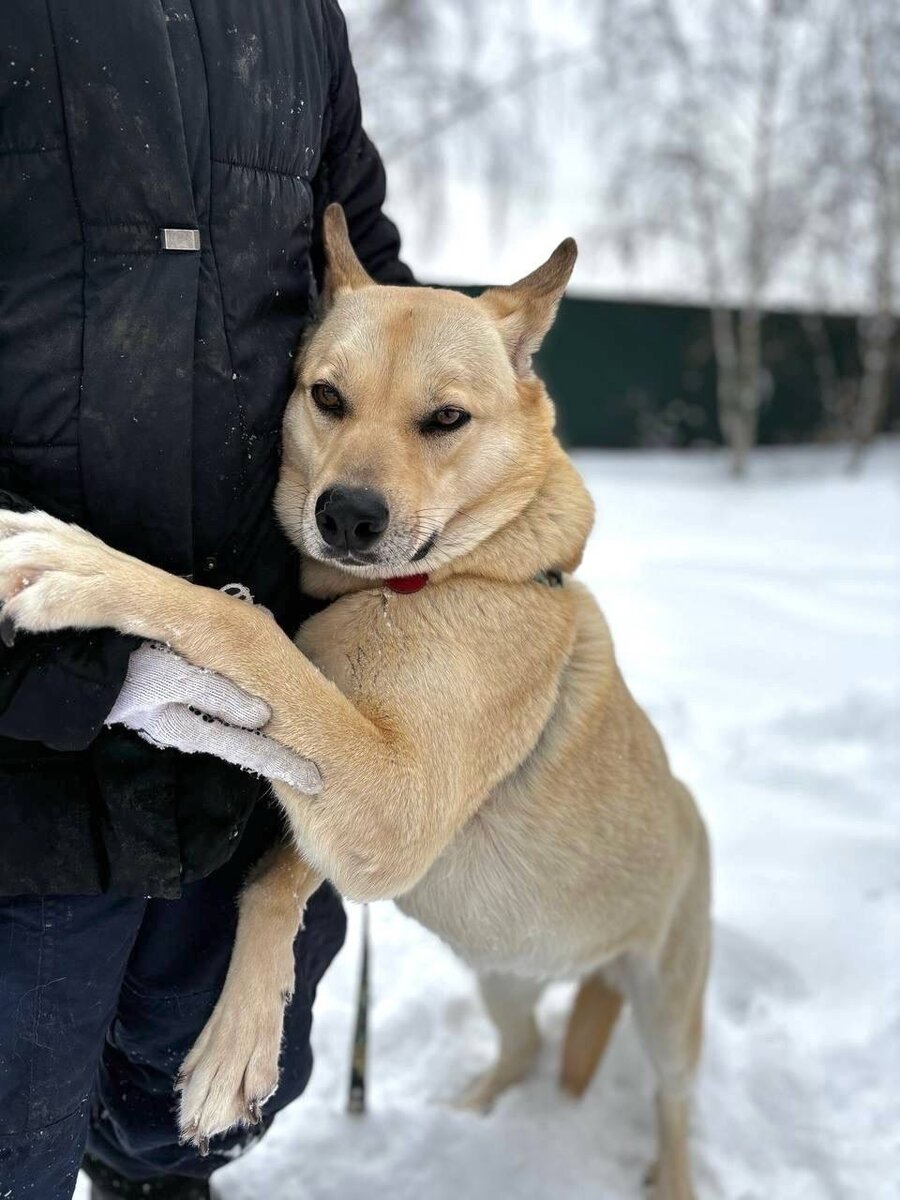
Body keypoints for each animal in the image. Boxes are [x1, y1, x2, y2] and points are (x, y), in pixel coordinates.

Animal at [0, 206, 710, 1200]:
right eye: (327, 397)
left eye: (446, 418)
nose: (348, 516)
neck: (427, 583)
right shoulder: (347, 806)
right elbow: (276, 872)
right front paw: (243, 1035)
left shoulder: (393, 808)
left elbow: (241, 626)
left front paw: (84, 566)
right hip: (503, 975)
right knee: (527, 1045)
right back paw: (477, 1107)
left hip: (669, 1007)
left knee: (673, 1106)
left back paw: (666, 1174)